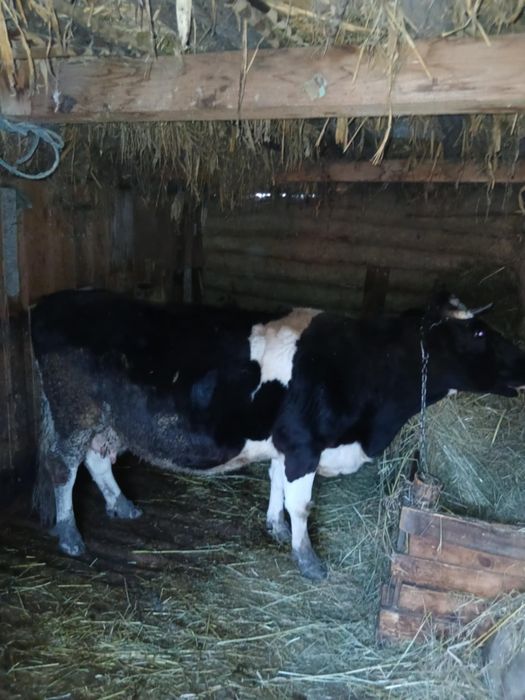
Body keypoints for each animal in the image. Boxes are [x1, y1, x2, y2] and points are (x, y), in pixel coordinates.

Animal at [31, 289, 525, 580]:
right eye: (478, 332)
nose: (522, 363)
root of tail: (53, 300)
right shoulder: (305, 445)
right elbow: (301, 503)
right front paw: (307, 559)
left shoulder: (287, 446)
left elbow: (276, 484)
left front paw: (275, 527)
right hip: (74, 411)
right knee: (62, 467)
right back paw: (70, 535)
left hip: (104, 419)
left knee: (96, 458)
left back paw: (121, 504)